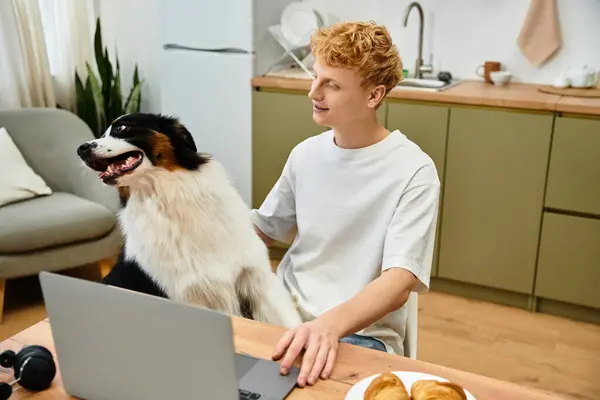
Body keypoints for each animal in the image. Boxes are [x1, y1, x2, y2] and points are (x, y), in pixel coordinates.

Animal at [77, 111, 302, 328]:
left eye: (122, 127)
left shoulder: (258, 279)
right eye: (102, 134)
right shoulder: (191, 297)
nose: (81, 149)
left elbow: (289, 323)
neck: (168, 199)